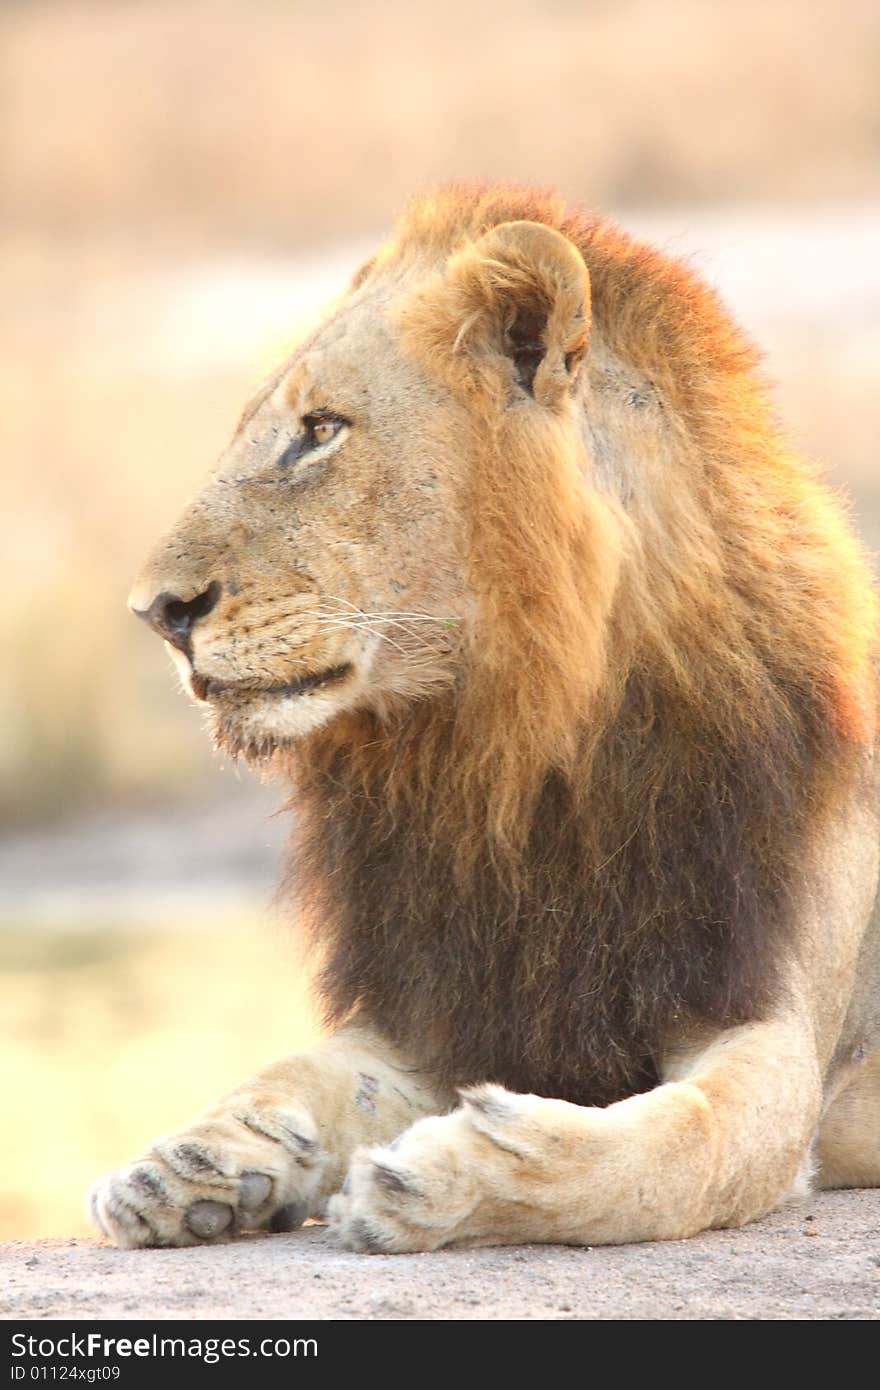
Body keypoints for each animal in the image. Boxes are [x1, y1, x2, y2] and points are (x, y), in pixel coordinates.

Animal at [88, 179, 878, 1256]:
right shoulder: (440, 999)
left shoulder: (770, 1031)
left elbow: (668, 1151)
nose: (157, 614)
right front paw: (191, 1163)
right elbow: (305, 1069)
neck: (510, 750)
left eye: (320, 429)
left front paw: (440, 1174)